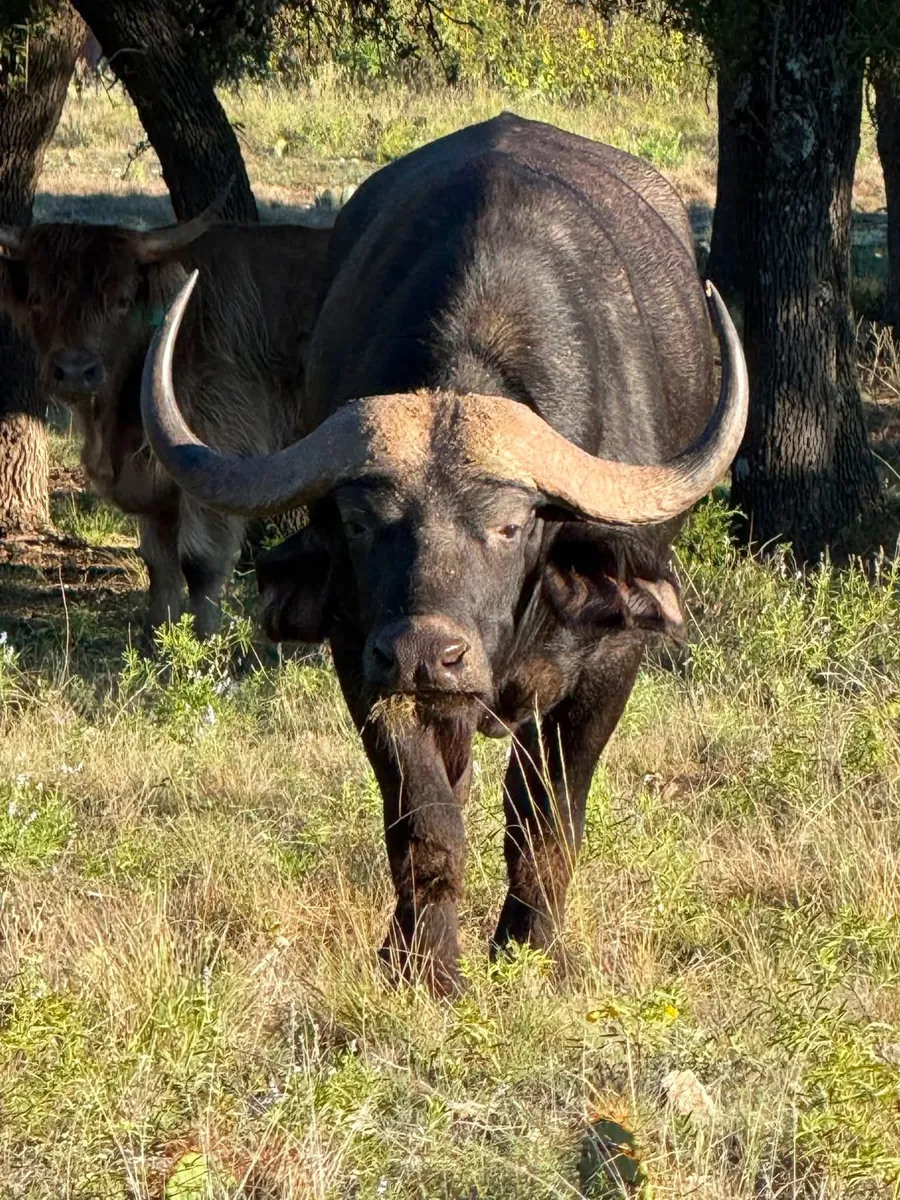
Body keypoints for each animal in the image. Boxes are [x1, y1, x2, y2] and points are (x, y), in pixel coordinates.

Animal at [0, 207, 330, 637]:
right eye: (38, 298)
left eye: (122, 300)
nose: (74, 372)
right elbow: (159, 564)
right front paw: (158, 639)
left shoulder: (220, 452)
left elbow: (200, 562)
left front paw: (205, 643)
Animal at [141, 114, 748, 992]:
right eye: (362, 522)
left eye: (510, 525)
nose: (428, 651)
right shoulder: (363, 662)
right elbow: (425, 821)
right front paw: (428, 969)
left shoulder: (609, 664)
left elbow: (545, 819)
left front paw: (529, 952)